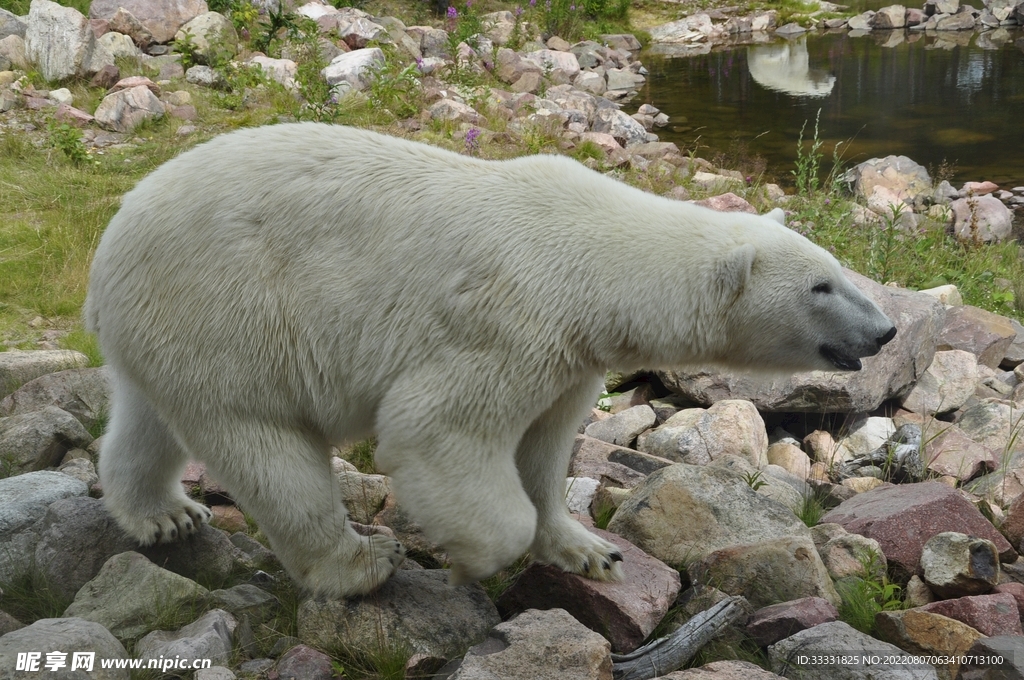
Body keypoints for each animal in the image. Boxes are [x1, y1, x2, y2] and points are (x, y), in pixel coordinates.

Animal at [83, 124, 892, 598]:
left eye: (839, 269)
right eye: (821, 287)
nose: (883, 331)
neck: (594, 260)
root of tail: (112, 238)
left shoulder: (571, 356)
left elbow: (546, 447)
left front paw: (588, 551)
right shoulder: (510, 322)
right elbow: (438, 430)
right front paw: (474, 555)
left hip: (174, 327)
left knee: (149, 419)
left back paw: (163, 516)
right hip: (234, 309)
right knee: (266, 446)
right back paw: (357, 566)